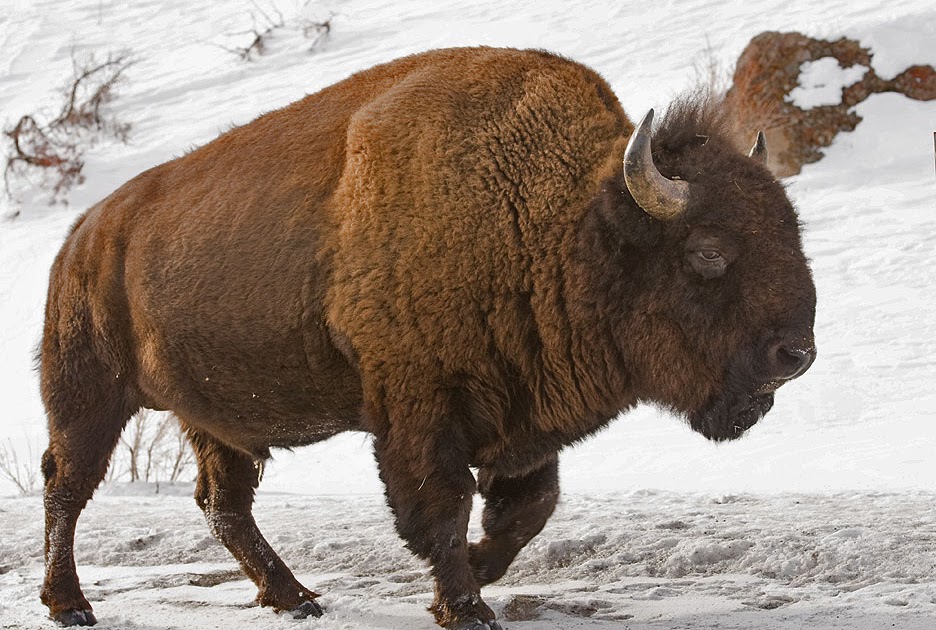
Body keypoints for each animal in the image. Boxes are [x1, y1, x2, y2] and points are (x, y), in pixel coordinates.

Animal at [38, 46, 816, 629]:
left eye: (792, 230)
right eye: (708, 252)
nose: (796, 354)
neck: (563, 222)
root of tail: (82, 236)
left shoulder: (526, 416)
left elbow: (526, 511)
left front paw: (479, 572)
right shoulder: (420, 410)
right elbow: (442, 506)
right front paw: (467, 607)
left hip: (214, 420)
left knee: (223, 504)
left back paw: (295, 598)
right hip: (89, 396)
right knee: (66, 486)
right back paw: (70, 605)